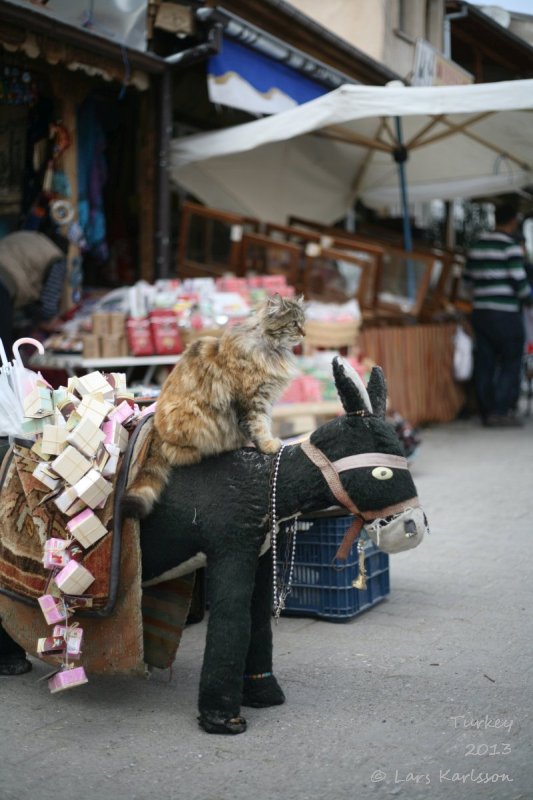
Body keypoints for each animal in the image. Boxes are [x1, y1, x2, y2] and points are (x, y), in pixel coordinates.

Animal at [121, 294, 304, 520]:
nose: (304, 333)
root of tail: (155, 428)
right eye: (294, 323)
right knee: (174, 452)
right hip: (190, 416)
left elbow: (260, 426)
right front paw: (269, 445)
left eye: (303, 322)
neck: (268, 348)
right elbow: (259, 426)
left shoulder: (263, 401)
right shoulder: (253, 401)